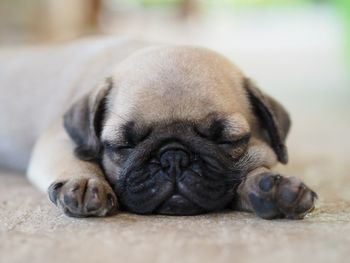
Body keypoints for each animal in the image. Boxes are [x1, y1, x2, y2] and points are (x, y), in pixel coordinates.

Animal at [0, 39, 318, 221]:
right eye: (124, 145)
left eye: (227, 140)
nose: (173, 158)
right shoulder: (57, 139)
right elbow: (75, 159)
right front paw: (85, 181)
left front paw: (271, 187)